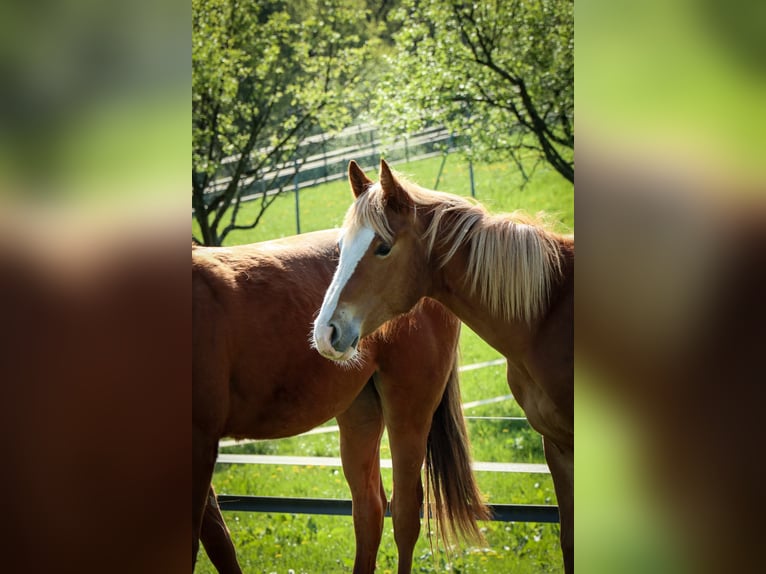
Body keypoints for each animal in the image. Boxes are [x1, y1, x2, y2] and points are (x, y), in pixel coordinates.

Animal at [192, 229, 489, 574]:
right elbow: (218, 542)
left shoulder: (200, 445)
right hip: (360, 411)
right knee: (369, 510)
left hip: (408, 409)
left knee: (404, 512)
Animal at [313, 160, 574, 572]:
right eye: (340, 247)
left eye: (383, 247)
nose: (326, 332)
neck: (549, 314)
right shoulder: (558, 447)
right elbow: (570, 541)